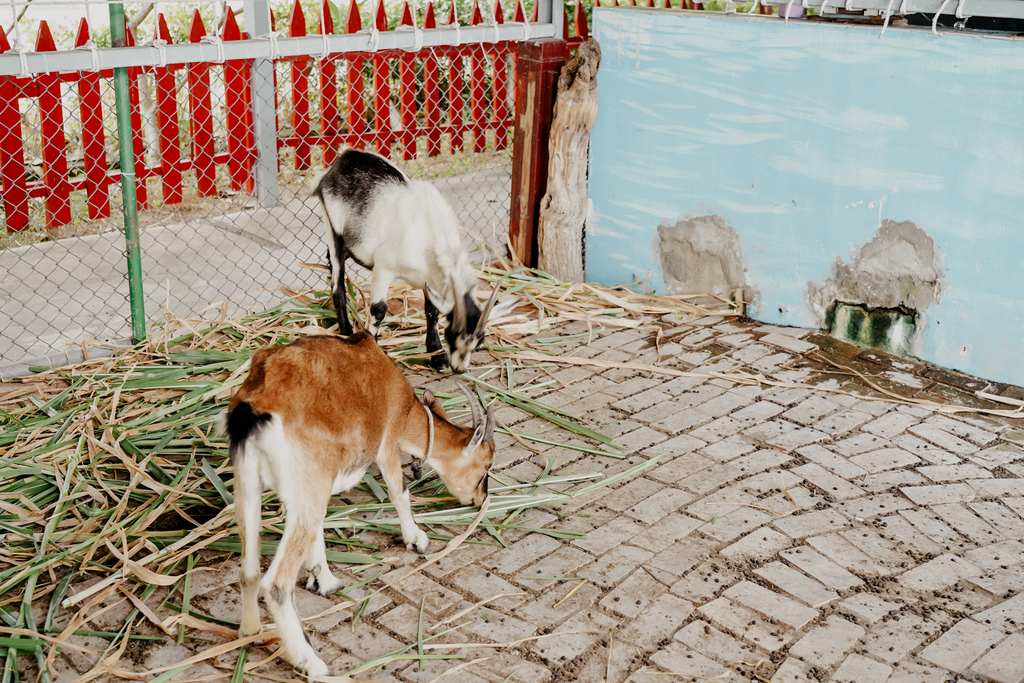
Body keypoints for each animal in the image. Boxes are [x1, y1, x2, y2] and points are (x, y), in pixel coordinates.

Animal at [220, 331, 495, 679]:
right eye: (486, 465)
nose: (481, 499)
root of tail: (256, 408)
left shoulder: (315, 483)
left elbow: (318, 529)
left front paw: (324, 581)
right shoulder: (385, 445)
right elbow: (399, 492)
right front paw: (417, 541)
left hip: (249, 480)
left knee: (250, 570)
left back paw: (251, 631)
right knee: (277, 584)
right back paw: (311, 662)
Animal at [313, 148, 520, 370]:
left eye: (480, 340)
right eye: (452, 334)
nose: (459, 369)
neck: (430, 233)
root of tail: (342, 159)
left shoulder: (432, 279)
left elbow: (432, 310)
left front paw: (437, 356)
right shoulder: (384, 267)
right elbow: (378, 310)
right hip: (332, 226)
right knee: (338, 285)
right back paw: (345, 332)